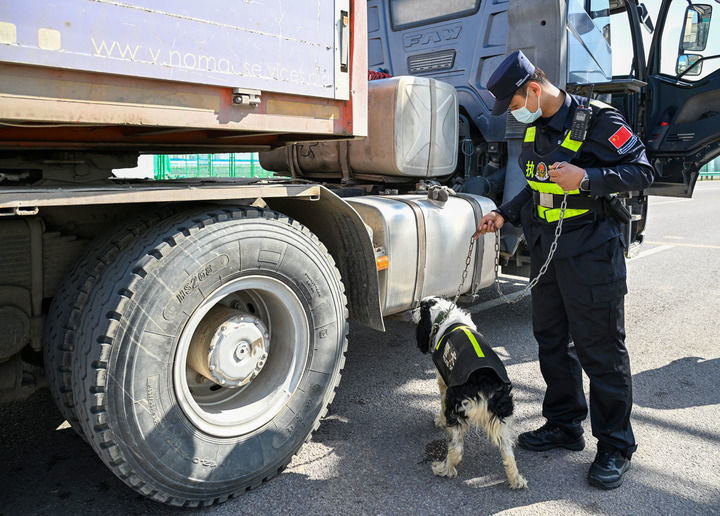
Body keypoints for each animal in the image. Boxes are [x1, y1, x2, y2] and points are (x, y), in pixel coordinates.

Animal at [414, 296, 524, 490]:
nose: (411, 310)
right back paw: (516, 480)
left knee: (456, 449)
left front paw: (439, 420)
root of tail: (484, 384)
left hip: (456, 408)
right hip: (503, 417)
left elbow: (441, 403)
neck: (445, 315)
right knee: (508, 452)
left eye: (420, 306)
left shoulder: (444, 382)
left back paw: (444, 469)